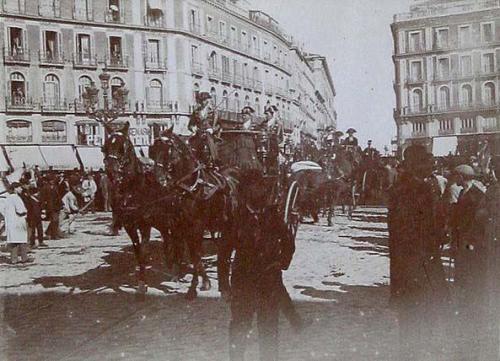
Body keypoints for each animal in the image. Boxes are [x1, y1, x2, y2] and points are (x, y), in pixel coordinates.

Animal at [149, 127, 239, 298]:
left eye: (168, 149)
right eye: (153, 150)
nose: (159, 179)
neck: (192, 187)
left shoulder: (197, 226)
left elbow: (196, 254)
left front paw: (196, 286)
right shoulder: (181, 226)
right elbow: (192, 254)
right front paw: (202, 281)